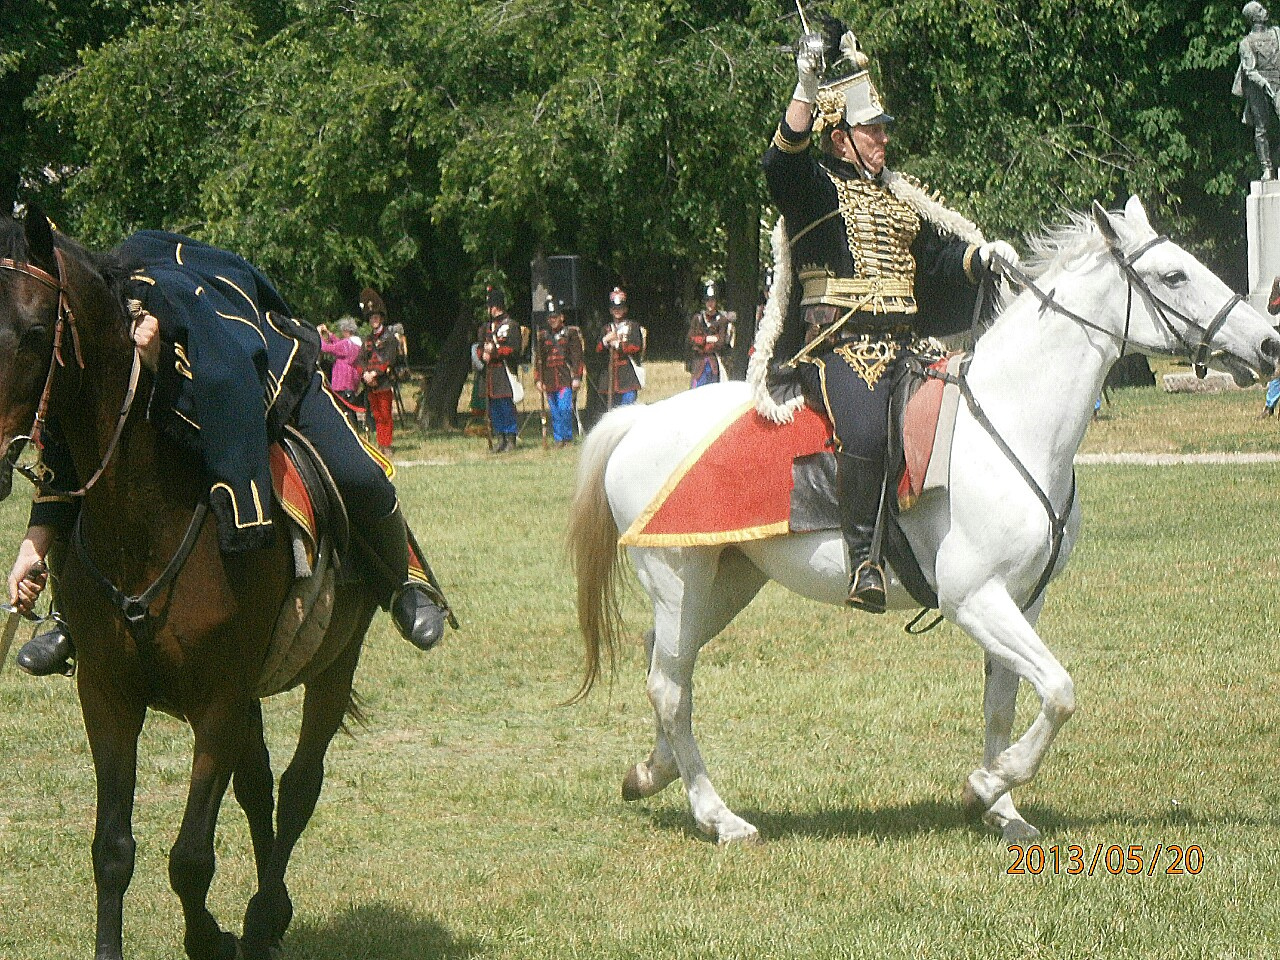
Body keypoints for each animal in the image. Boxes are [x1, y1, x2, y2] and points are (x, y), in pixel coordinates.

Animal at [0, 212, 378, 960]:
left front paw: (214, 937)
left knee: (298, 786)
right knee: (260, 787)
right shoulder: (109, 695)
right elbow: (113, 850)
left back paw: (265, 914)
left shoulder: (217, 701)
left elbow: (191, 858)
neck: (145, 515)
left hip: (333, 664)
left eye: (30, 333)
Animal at [570, 195, 1280, 839]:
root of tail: (638, 421)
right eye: (1174, 275)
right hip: (679, 579)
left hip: (727, 582)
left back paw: (650, 772)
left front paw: (1004, 811)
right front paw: (986, 785)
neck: (1014, 419)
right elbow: (1059, 691)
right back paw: (717, 816)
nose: (1268, 341)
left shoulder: (1024, 599)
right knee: (670, 687)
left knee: (666, 666)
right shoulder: (972, 597)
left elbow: (1003, 704)